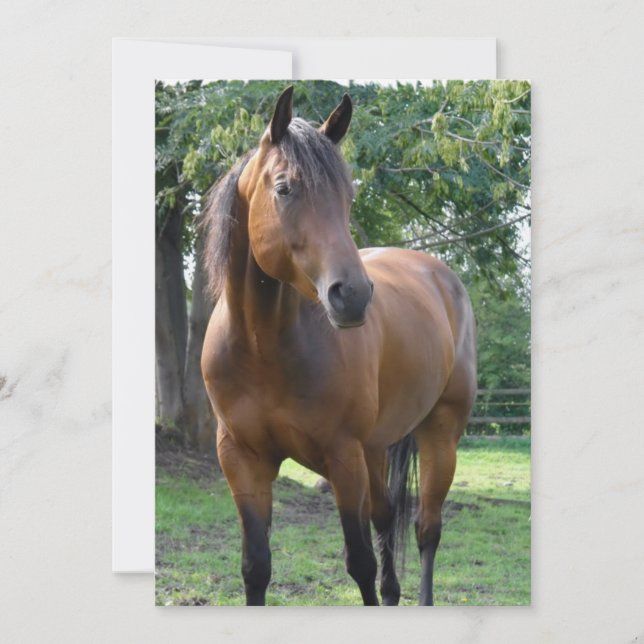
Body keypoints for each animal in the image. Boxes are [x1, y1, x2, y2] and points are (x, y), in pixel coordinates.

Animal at [201, 86, 477, 606]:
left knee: (426, 530)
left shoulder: (343, 457)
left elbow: (360, 562)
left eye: (348, 196)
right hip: (377, 448)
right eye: (284, 188)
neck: (264, 348)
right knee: (388, 518)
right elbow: (256, 567)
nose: (352, 295)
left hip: (440, 433)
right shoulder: (242, 460)